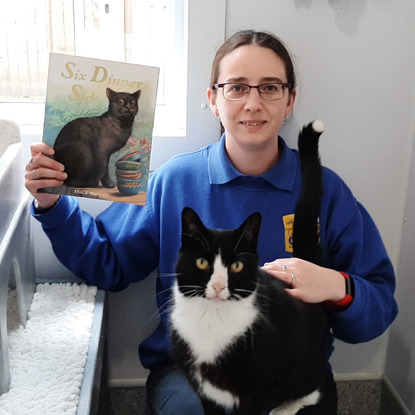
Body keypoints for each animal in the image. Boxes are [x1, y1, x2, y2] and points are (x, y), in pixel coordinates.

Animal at [171, 122, 330, 414]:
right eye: (202, 262)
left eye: (236, 265)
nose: (219, 286)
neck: (212, 318)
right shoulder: (203, 388)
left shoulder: (256, 391)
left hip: (308, 362)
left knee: (311, 389)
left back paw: (284, 408)